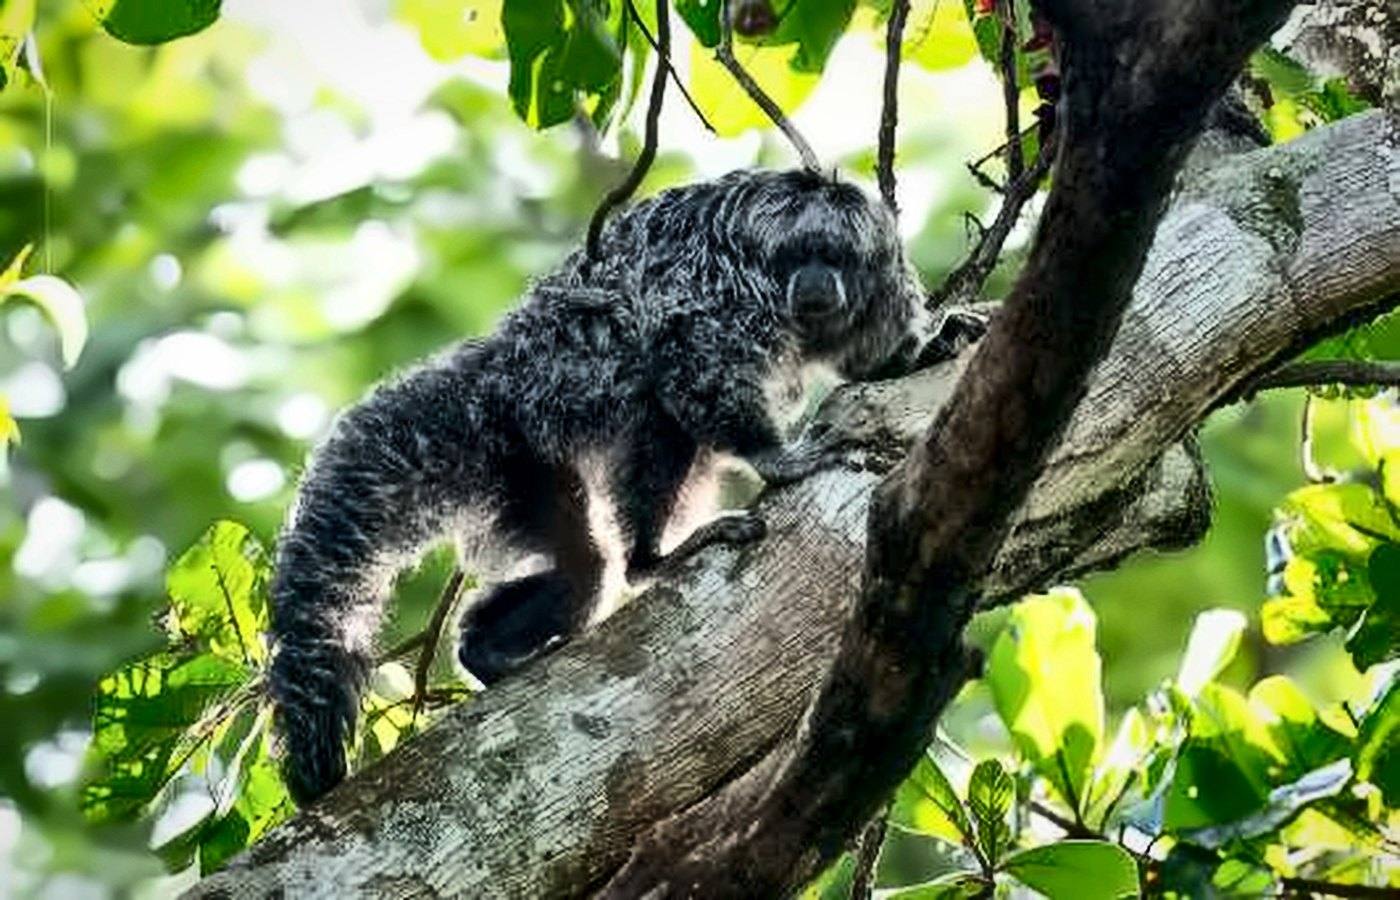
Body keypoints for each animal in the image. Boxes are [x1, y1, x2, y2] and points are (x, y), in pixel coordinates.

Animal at [267, 168, 948, 805]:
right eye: (802, 255)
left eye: (835, 260)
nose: (816, 284)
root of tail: (491, 379)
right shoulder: (721, 291)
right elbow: (693, 355)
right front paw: (777, 458)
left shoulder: (878, 287)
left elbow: (870, 358)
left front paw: (930, 347)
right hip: (521, 428)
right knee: (652, 433)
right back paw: (651, 558)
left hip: (522, 470)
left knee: (585, 565)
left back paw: (486, 650)